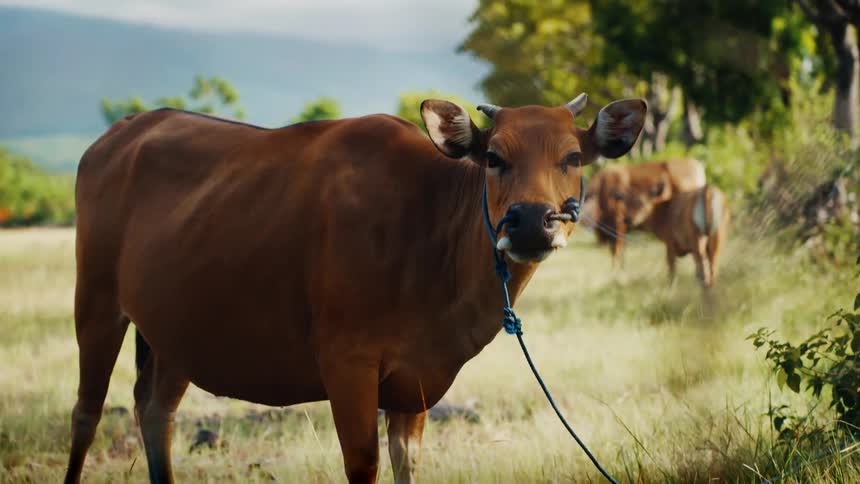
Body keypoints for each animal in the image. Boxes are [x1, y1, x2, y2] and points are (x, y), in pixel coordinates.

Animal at [64, 93, 646, 484]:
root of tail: (123, 132)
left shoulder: (415, 381)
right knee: (87, 414)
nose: (529, 223)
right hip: (95, 303)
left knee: (155, 410)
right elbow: (363, 465)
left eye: (573, 157)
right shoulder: (347, 364)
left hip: (175, 331)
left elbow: (407, 463)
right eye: (494, 156)